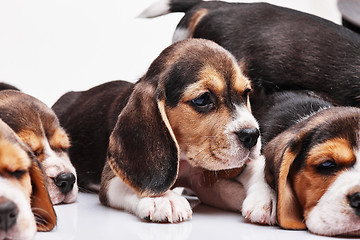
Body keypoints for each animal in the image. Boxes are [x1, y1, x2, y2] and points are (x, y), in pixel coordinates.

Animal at [51, 38, 276, 224]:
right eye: (203, 99)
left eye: (245, 93)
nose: (252, 135)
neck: (185, 160)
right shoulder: (110, 180)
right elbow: (136, 185)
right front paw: (163, 199)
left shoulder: (204, 179)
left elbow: (254, 170)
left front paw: (267, 199)